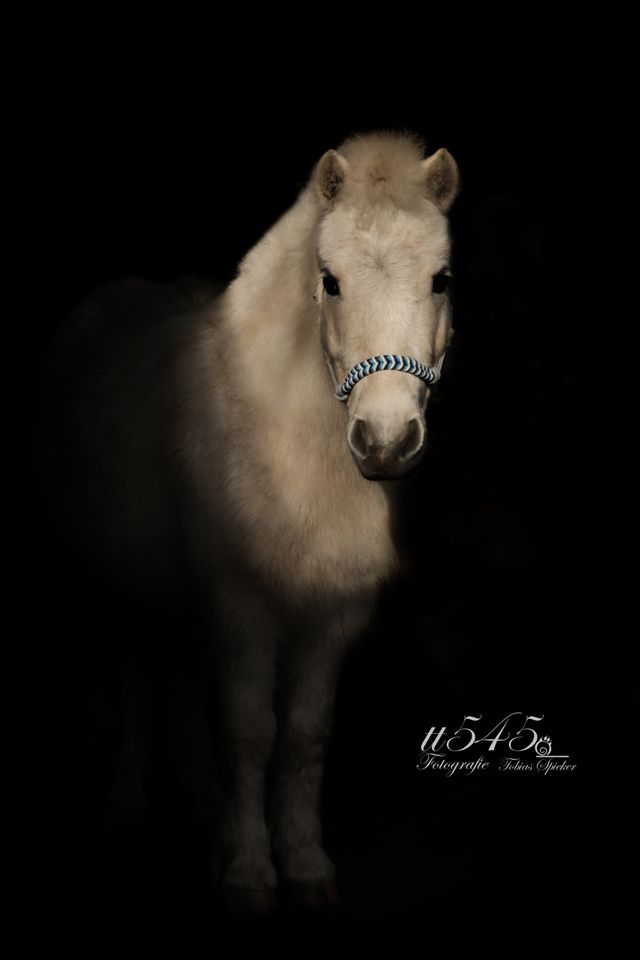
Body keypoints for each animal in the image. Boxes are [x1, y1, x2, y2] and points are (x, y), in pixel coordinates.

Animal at [42, 131, 458, 912]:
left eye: (442, 278)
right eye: (329, 281)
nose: (386, 443)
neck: (283, 430)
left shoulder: (333, 610)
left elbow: (304, 736)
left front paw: (304, 863)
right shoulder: (242, 601)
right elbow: (249, 731)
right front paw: (248, 872)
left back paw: (203, 807)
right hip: (118, 585)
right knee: (135, 675)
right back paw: (127, 809)